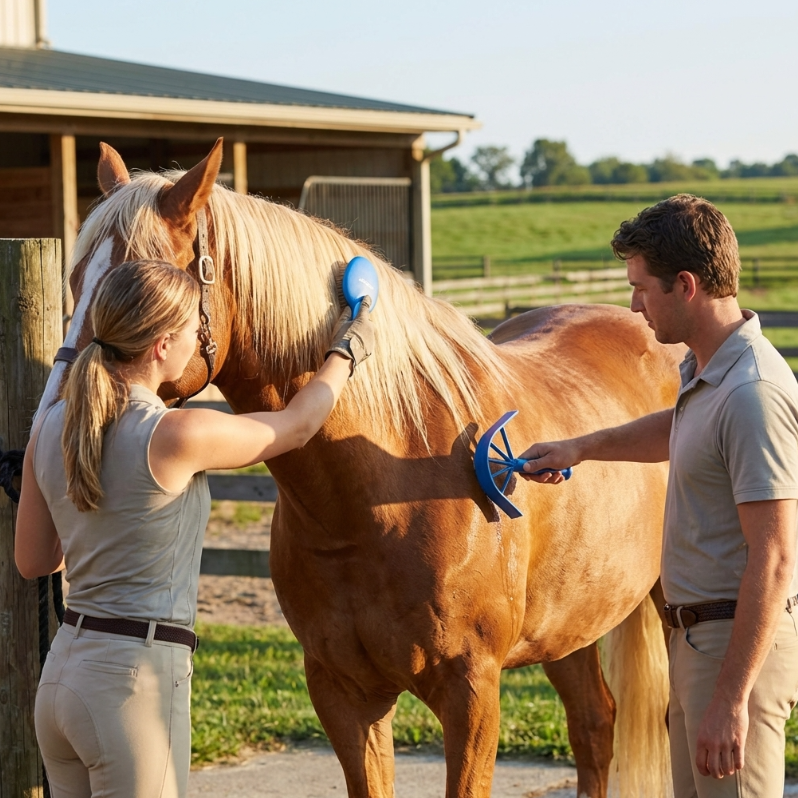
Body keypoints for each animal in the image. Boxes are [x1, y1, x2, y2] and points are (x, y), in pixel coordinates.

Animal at [36, 139, 682, 798]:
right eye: (74, 281)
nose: (56, 421)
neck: (382, 490)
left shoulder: (472, 693)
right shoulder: (343, 693)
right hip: (569, 624)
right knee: (594, 724)